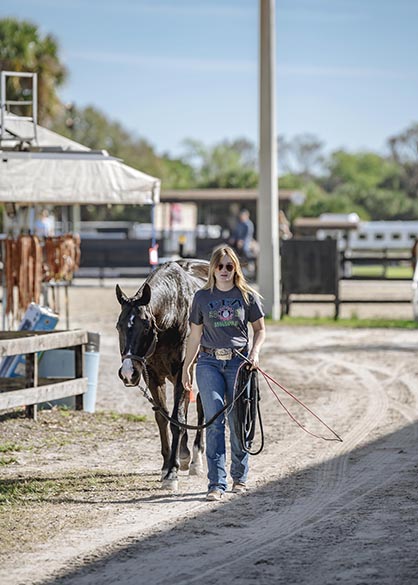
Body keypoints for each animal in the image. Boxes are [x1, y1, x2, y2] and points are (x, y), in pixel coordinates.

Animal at [116, 258, 209, 488]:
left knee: (201, 404)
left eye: (146, 327)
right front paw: (168, 465)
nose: (128, 373)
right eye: (118, 326)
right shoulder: (153, 376)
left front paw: (172, 473)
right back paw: (184, 454)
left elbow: (177, 418)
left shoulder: (181, 372)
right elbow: (164, 418)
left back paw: (195, 460)